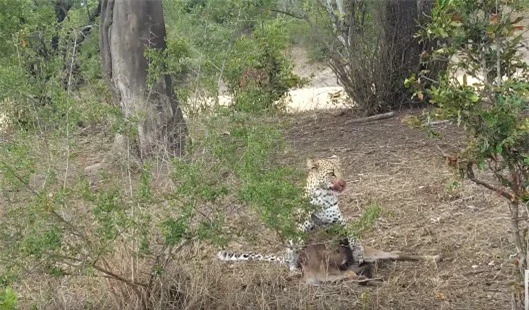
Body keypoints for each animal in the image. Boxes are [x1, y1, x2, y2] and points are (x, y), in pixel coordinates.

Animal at [217, 155, 366, 272]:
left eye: (341, 172)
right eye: (332, 173)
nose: (344, 183)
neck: (327, 194)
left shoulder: (340, 220)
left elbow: (353, 235)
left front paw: (358, 253)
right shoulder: (320, 221)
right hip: (294, 244)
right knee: (292, 258)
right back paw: (295, 269)